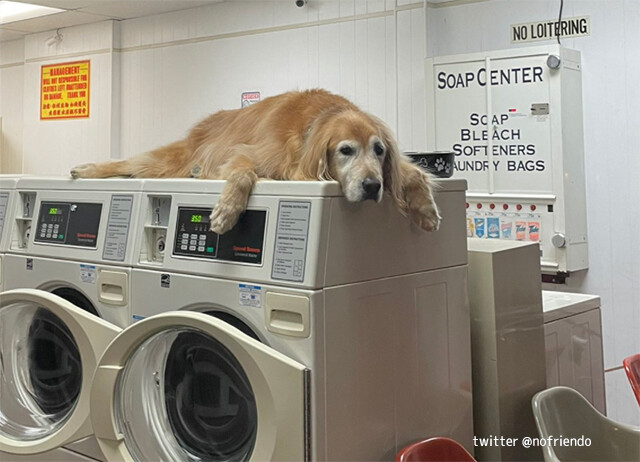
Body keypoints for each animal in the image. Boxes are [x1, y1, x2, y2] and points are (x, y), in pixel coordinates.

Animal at [70, 89, 440, 235]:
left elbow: (413, 173)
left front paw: (427, 210)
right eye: (345, 150)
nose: (372, 186)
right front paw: (226, 211)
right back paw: (86, 169)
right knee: (129, 163)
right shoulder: (248, 155)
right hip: (170, 160)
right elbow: (243, 175)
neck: (309, 129)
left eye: (379, 150)